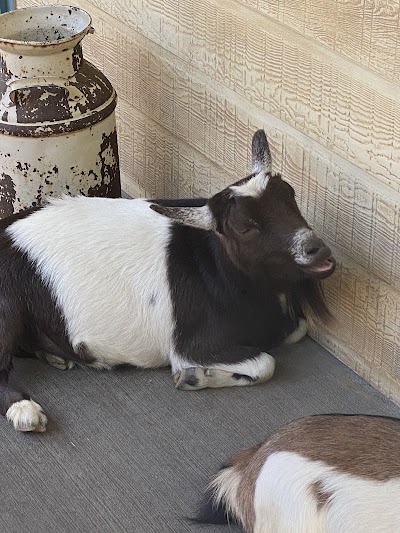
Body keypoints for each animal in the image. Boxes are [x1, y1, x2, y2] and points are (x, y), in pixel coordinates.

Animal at [0, 130, 336, 432]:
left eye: (290, 195)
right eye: (245, 227)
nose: (316, 248)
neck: (218, 269)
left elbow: (299, 329)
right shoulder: (193, 346)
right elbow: (265, 364)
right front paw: (194, 377)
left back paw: (54, 356)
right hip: (8, 308)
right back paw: (25, 411)